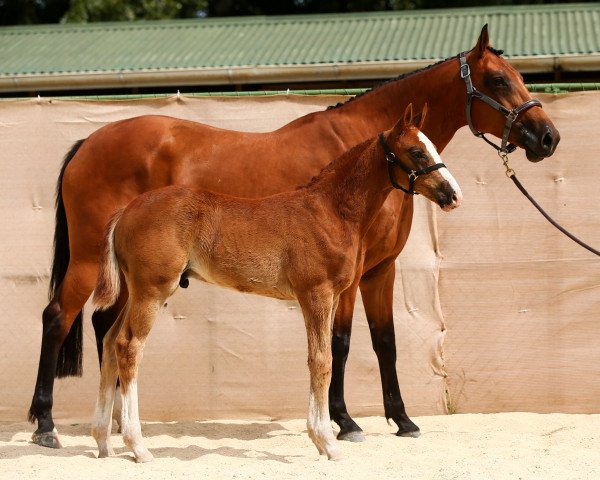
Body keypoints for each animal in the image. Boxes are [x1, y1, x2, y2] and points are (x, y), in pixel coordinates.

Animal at [91, 104, 462, 462]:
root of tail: (125, 211)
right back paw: (138, 446)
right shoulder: (316, 294)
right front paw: (327, 442)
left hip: (136, 292)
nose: (453, 195)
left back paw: (103, 442)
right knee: (129, 347)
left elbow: (323, 357)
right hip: (153, 290)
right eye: (416, 151)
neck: (330, 211)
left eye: (431, 146)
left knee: (110, 342)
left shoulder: (329, 297)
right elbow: (322, 361)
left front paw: (323, 438)